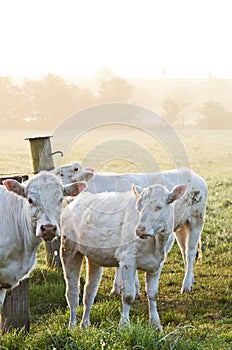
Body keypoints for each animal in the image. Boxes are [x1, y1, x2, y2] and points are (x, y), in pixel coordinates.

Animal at [60, 182, 187, 330]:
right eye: (139, 208)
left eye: (158, 207)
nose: (139, 230)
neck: (156, 244)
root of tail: (74, 201)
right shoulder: (128, 260)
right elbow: (128, 295)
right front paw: (124, 324)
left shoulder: (158, 264)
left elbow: (153, 294)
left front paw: (156, 324)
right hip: (69, 250)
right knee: (72, 292)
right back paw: (72, 325)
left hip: (93, 257)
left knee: (89, 292)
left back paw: (85, 324)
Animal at [62, 167, 208, 296]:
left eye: (66, 173)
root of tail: (195, 176)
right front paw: (117, 289)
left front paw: (133, 289)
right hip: (181, 226)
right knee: (184, 251)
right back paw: (191, 280)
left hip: (196, 220)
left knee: (190, 252)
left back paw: (186, 285)